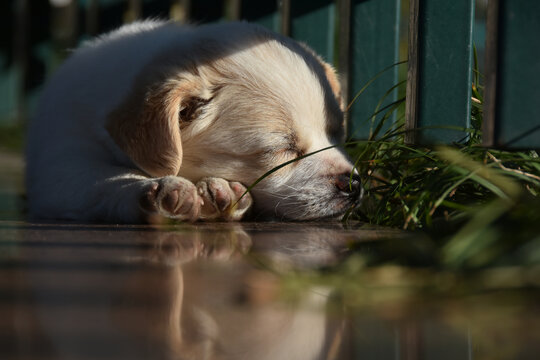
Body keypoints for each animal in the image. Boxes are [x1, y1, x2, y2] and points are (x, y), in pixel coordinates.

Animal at [25, 21, 362, 224]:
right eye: (281, 149)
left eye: (336, 134)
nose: (354, 183)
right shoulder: (60, 167)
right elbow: (105, 178)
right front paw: (156, 188)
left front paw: (223, 192)